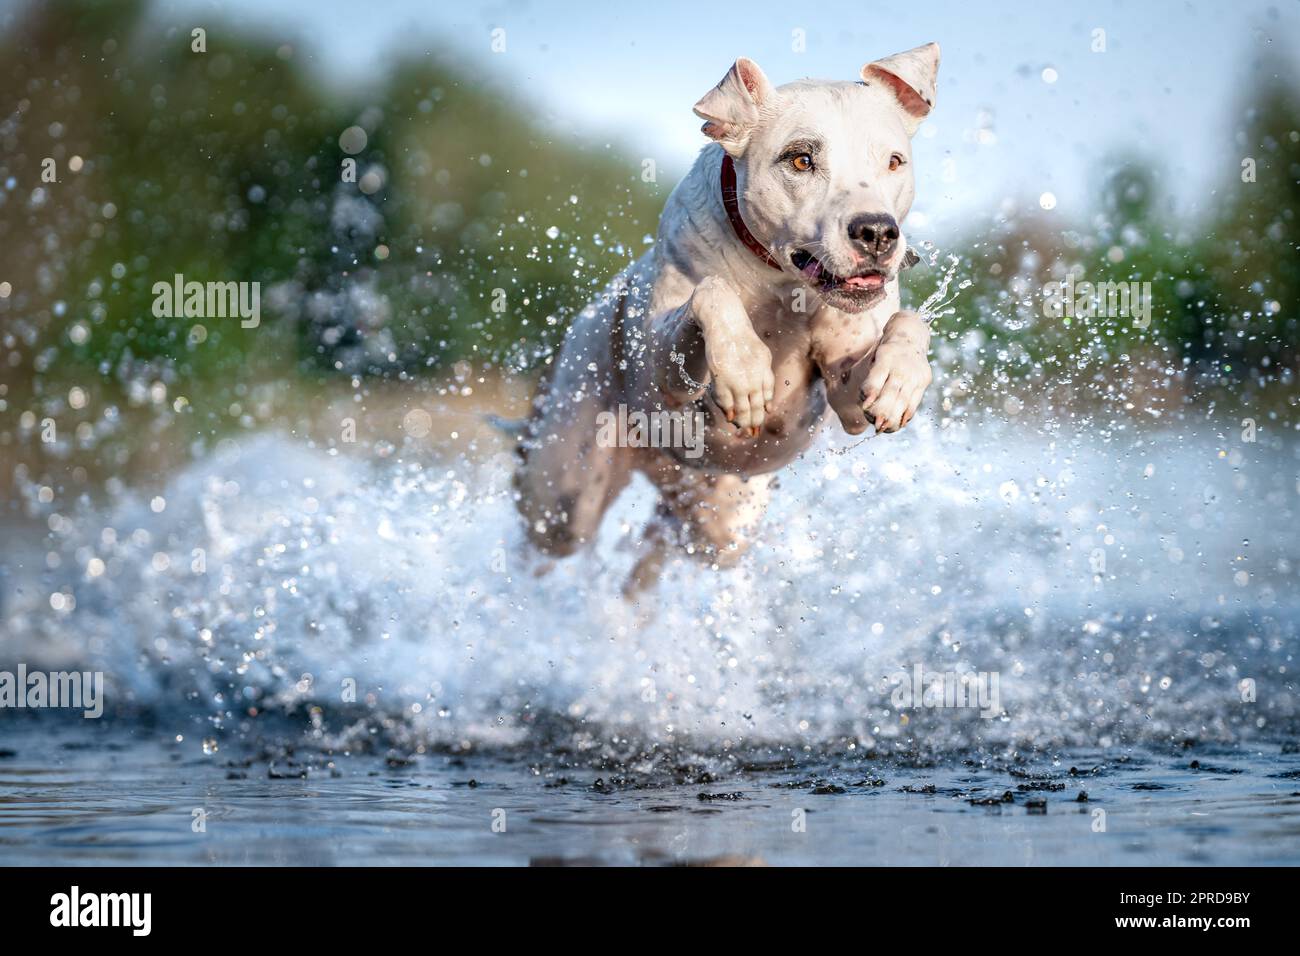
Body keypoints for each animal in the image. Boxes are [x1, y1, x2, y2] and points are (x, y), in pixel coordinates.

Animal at [512, 44, 941, 590]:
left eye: (894, 161)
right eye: (800, 159)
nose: (877, 232)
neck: (779, 283)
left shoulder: (847, 392)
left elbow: (907, 325)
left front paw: (899, 381)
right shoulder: (663, 370)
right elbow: (711, 293)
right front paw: (744, 371)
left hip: (717, 524)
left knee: (663, 547)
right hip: (565, 493)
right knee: (551, 534)